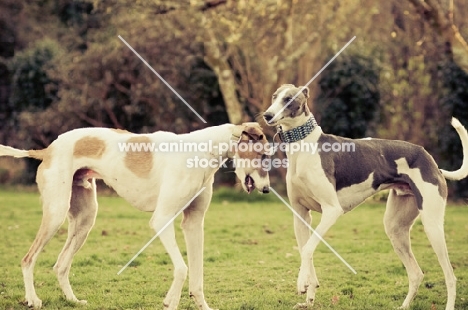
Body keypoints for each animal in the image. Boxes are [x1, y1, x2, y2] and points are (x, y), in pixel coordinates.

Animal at [0, 123, 270, 310]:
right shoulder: (162, 219)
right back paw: (33, 299)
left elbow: (197, 274)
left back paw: (73, 301)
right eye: (263, 156)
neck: (202, 150)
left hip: (85, 220)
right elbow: (182, 268)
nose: (267, 189)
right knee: (28, 259)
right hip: (56, 214)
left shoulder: (194, 224)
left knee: (60, 264)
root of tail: (48, 149)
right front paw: (170, 301)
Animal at [264, 83, 468, 310]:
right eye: (274, 96)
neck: (305, 146)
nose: (267, 115)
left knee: (450, 276)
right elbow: (305, 250)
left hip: (432, 225)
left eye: (289, 99)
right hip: (395, 228)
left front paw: (302, 283)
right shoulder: (301, 214)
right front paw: (310, 293)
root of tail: (432, 162)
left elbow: (307, 249)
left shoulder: (332, 210)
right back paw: (404, 305)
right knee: (416, 274)